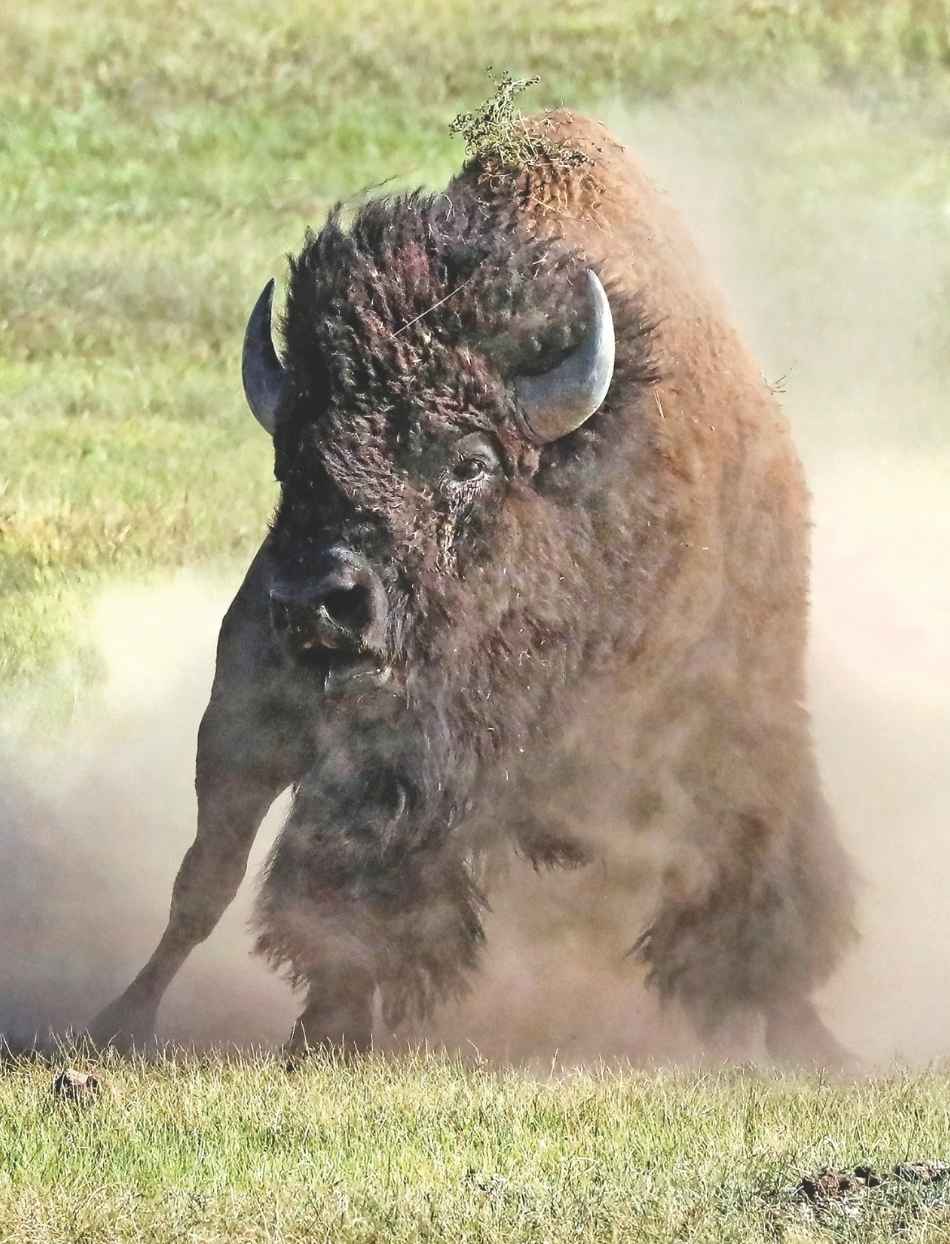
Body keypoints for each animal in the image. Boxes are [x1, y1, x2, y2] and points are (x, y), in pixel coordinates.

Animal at [90, 112, 855, 1062]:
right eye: (291, 463)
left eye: (471, 462)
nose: (315, 601)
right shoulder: (323, 739)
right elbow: (322, 882)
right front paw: (324, 1031)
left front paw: (804, 1037)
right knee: (209, 878)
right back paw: (129, 1021)